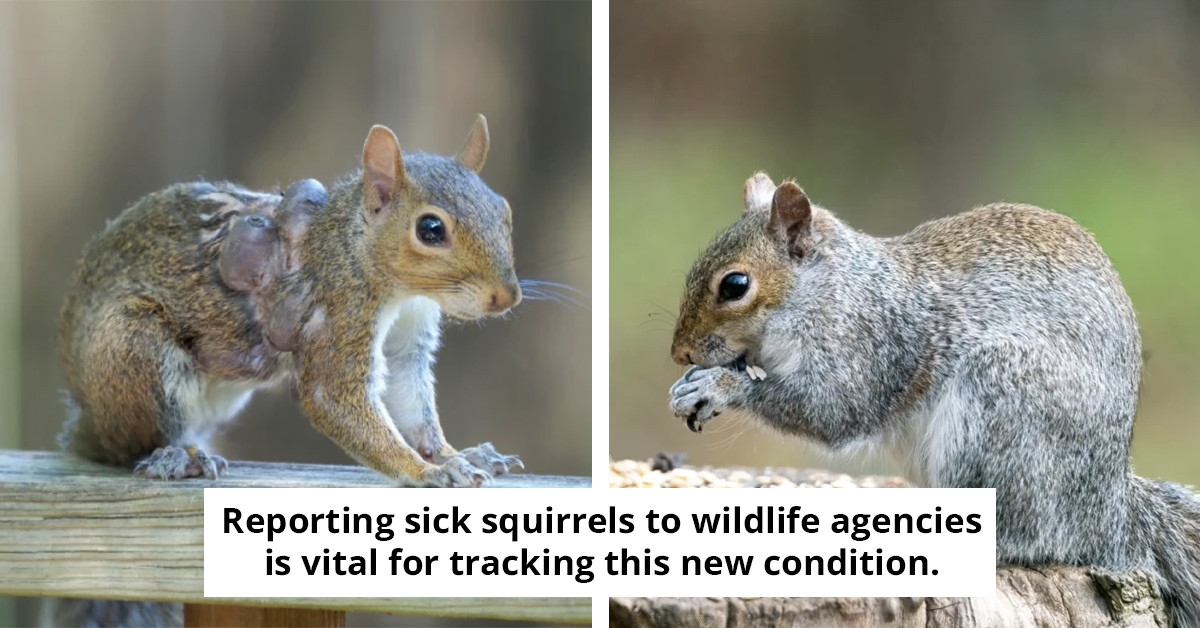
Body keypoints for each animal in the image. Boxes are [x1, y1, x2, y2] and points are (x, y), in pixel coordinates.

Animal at [58, 115, 523, 488]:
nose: (507, 297)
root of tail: (85, 416)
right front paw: (427, 472)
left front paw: (453, 455)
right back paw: (175, 457)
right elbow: (333, 399)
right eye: (430, 229)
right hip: (132, 345)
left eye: (504, 210)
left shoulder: (409, 336)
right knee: (125, 445)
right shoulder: (340, 311)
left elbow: (412, 403)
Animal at [669, 172, 1200, 626]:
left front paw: (719, 386)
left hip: (1007, 403)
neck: (824, 291)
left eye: (735, 285)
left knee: (1026, 533)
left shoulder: (872, 344)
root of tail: (1108, 514)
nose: (680, 353)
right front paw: (693, 382)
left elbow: (833, 410)